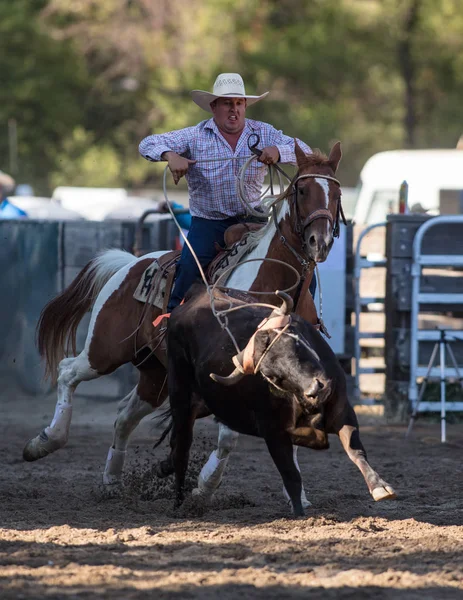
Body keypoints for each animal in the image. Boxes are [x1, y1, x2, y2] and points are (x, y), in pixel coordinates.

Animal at [23, 143, 346, 508]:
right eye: (302, 190)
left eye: (336, 194)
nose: (319, 242)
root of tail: (130, 263)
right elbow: (229, 437)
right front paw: (204, 487)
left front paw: (298, 496)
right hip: (104, 351)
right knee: (68, 372)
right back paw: (44, 442)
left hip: (155, 375)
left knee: (123, 417)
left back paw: (111, 482)